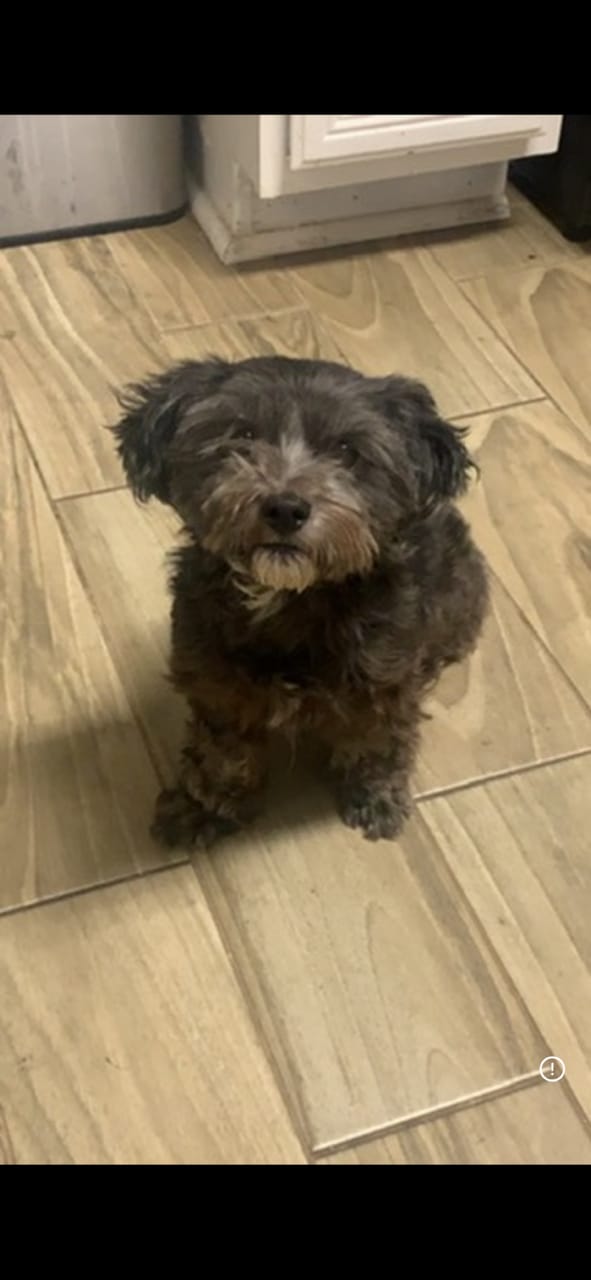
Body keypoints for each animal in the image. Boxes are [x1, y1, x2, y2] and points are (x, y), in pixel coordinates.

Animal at [113, 355, 489, 847]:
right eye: (241, 436)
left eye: (348, 451)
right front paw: (203, 808)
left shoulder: (384, 679)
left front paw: (375, 796)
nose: (286, 508)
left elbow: (378, 740)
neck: (290, 597)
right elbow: (221, 756)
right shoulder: (218, 683)